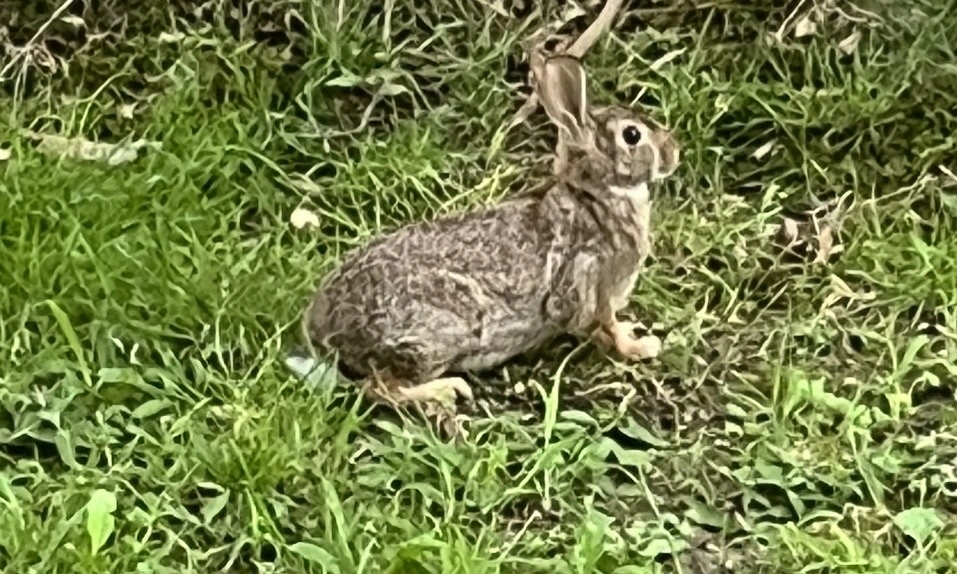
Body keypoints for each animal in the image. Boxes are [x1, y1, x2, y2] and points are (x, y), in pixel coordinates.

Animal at [302, 55, 679, 433]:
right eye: (632, 135)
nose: (673, 151)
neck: (597, 196)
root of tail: (327, 325)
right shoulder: (593, 279)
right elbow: (605, 323)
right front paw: (641, 347)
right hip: (441, 331)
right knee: (379, 387)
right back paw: (447, 389)